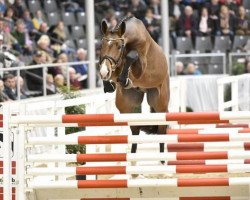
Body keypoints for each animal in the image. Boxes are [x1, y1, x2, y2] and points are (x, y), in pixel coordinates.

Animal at [98, 15, 170, 159]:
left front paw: (123, 79)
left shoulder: (140, 67)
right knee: (135, 130)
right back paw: (132, 161)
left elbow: (131, 56)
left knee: (161, 130)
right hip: (127, 105)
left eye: (119, 46)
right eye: (102, 44)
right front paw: (108, 83)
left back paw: (162, 161)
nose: (103, 72)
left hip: (160, 103)